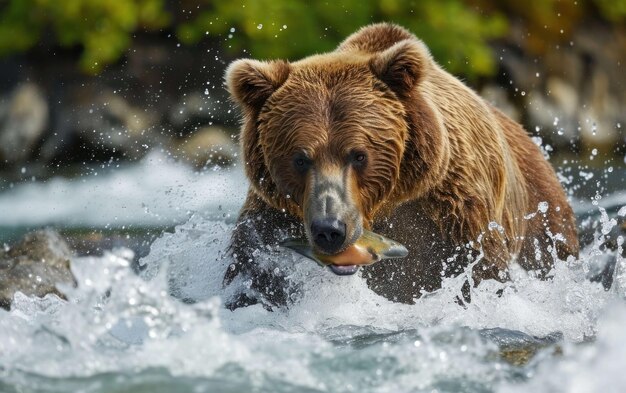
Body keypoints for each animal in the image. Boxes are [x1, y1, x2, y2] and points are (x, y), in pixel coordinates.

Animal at [222, 22, 576, 310]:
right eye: (300, 158)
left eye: (358, 155)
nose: (329, 229)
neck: (389, 203)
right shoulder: (271, 218)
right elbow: (249, 272)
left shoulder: (456, 212)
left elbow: (483, 273)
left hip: (540, 216)